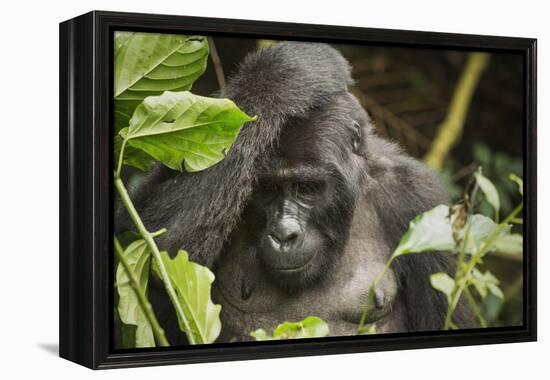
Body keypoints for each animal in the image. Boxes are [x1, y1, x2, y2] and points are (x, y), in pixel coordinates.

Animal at [115, 40, 474, 344]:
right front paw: (287, 74)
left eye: (307, 188)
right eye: (269, 189)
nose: (284, 233)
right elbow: (151, 244)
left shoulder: (419, 200)